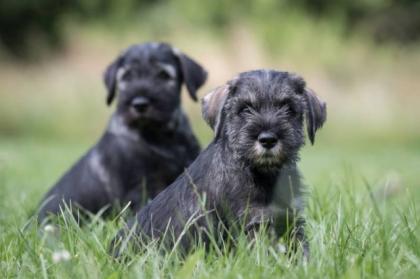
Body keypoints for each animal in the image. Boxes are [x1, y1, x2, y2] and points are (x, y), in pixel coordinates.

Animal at [112, 69, 328, 258]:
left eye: (289, 108)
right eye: (245, 109)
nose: (267, 139)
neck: (262, 172)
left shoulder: (291, 218)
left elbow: (301, 248)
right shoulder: (253, 221)